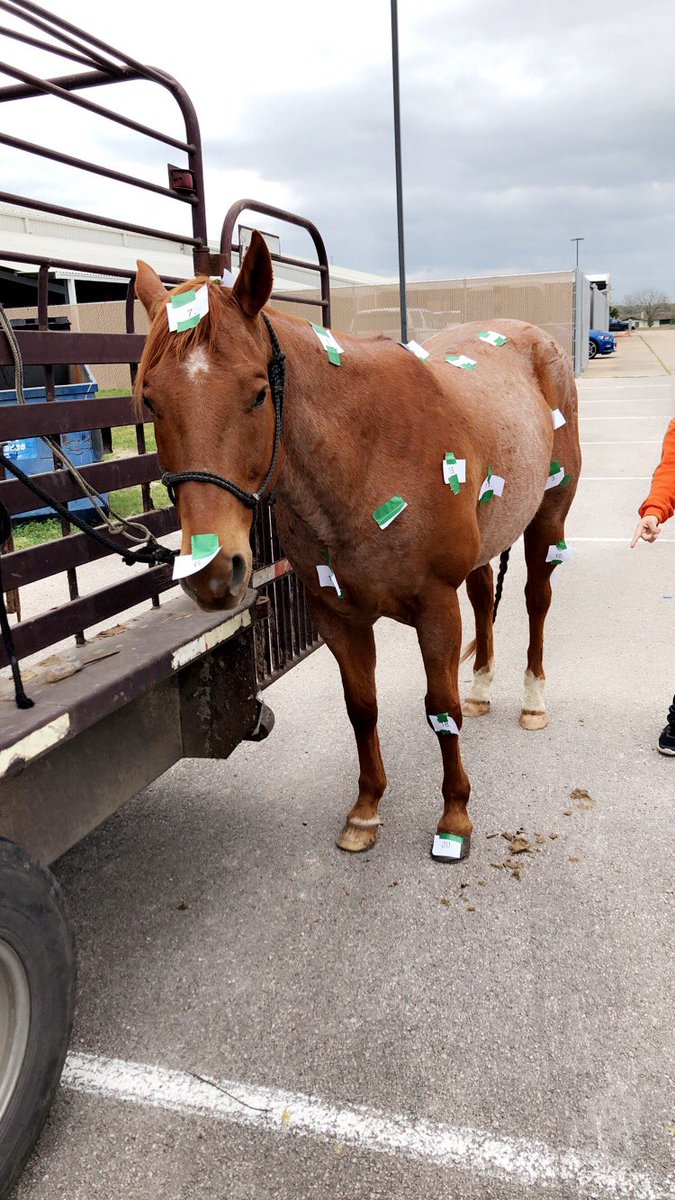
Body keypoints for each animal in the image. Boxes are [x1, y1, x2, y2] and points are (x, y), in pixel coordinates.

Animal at [135, 230, 581, 861]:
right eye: (151, 400)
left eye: (257, 394)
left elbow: (439, 708)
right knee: (483, 598)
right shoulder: (336, 614)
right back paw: (482, 687)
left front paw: (455, 816)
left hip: (549, 516)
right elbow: (361, 708)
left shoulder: (434, 608)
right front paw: (367, 809)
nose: (213, 571)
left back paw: (533, 699)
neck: (366, 456)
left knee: (536, 600)